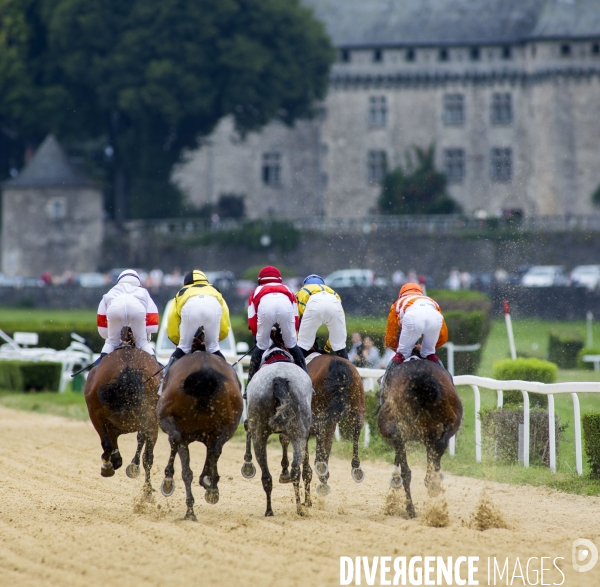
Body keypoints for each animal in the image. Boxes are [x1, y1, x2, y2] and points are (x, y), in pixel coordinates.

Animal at [84, 326, 161, 496]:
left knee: (107, 445)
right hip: (151, 420)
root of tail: (127, 367)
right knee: (148, 457)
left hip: (96, 413)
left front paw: (115, 462)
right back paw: (147, 493)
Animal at [159, 334, 246, 520]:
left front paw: (168, 480)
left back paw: (191, 509)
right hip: (230, 425)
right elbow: (212, 453)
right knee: (215, 450)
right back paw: (209, 490)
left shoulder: (170, 424)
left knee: (186, 465)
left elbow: (174, 444)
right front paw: (209, 482)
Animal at [241, 356, 314, 516]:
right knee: (295, 469)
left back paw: (269, 510)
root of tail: (279, 377)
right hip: (298, 434)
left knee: (266, 476)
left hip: (259, 435)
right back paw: (298, 508)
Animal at [378, 358, 462, 520]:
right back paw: (432, 485)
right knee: (440, 445)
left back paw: (411, 508)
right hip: (451, 418)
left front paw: (395, 479)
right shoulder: (430, 436)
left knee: (407, 470)